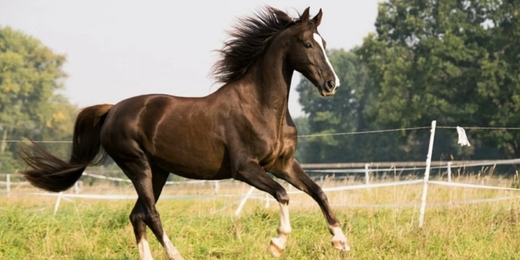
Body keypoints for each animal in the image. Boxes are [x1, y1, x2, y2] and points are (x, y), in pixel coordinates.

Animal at [20, 6, 352, 260]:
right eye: (307, 44)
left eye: (324, 42)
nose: (331, 84)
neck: (260, 106)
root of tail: (112, 110)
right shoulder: (245, 168)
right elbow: (282, 195)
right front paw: (277, 243)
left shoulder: (282, 164)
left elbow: (318, 192)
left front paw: (341, 241)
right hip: (137, 165)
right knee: (151, 215)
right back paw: (176, 255)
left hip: (157, 171)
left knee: (137, 215)